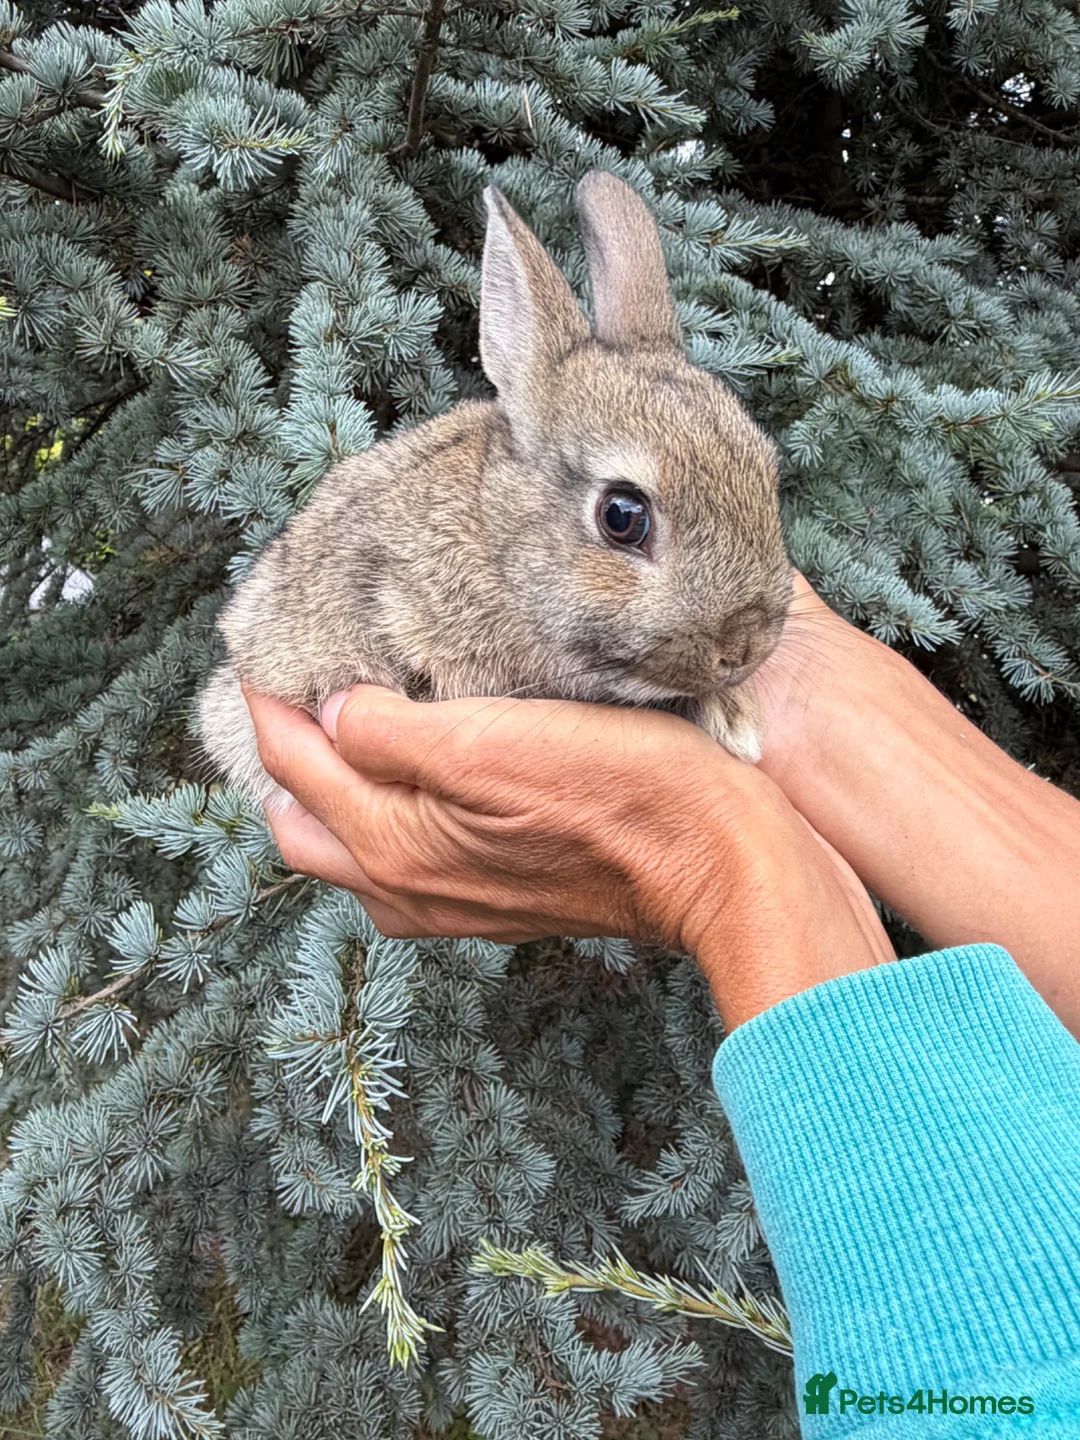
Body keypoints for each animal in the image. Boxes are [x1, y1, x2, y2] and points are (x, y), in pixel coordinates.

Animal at [197, 170, 793, 813]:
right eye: (623, 515)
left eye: (768, 474)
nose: (743, 649)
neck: (497, 551)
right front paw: (735, 721)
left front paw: (735, 716)